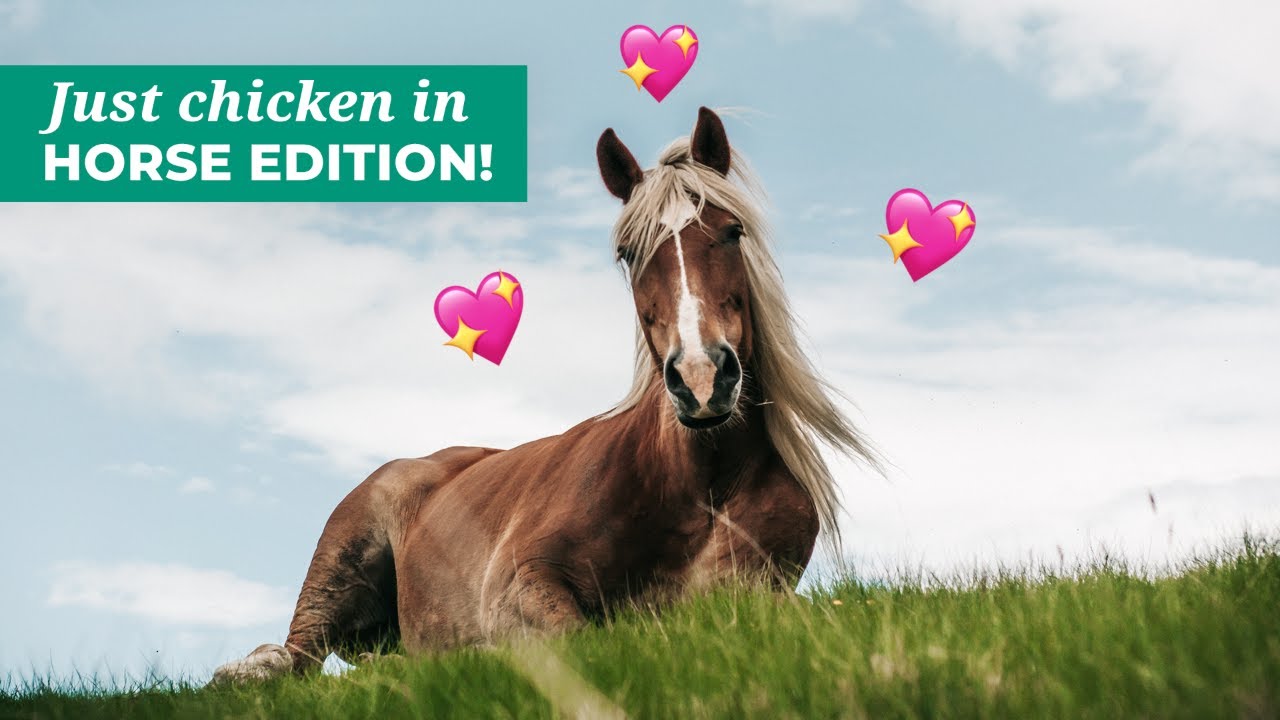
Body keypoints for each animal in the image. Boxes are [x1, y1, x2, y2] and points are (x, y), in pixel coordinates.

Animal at [212, 107, 875, 683]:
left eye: (732, 233)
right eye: (628, 253)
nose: (702, 378)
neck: (696, 480)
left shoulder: (754, 593)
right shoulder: (522, 580)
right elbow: (573, 634)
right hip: (340, 563)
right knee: (297, 654)